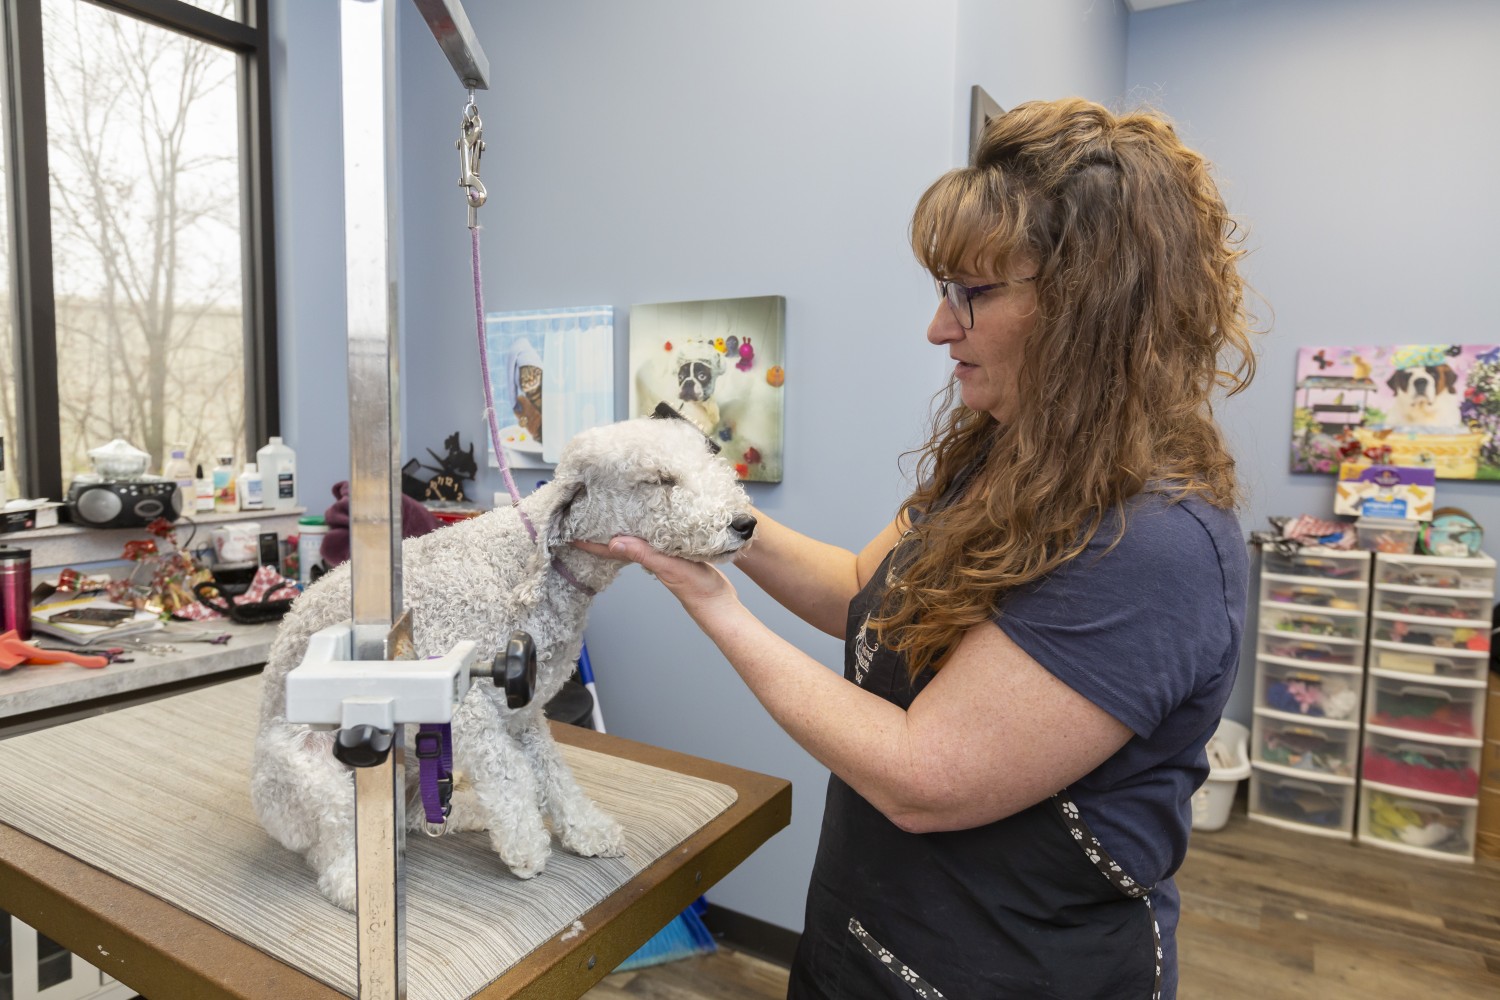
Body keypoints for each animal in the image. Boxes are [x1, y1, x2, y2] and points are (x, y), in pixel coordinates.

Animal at [253, 413, 762, 905]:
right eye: (659, 480)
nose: (745, 523)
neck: (527, 570)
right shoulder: (469, 707)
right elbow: (512, 774)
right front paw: (527, 847)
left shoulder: (524, 712)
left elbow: (553, 773)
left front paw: (588, 830)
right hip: (314, 767)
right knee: (333, 840)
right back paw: (355, 883)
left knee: (415, 815)